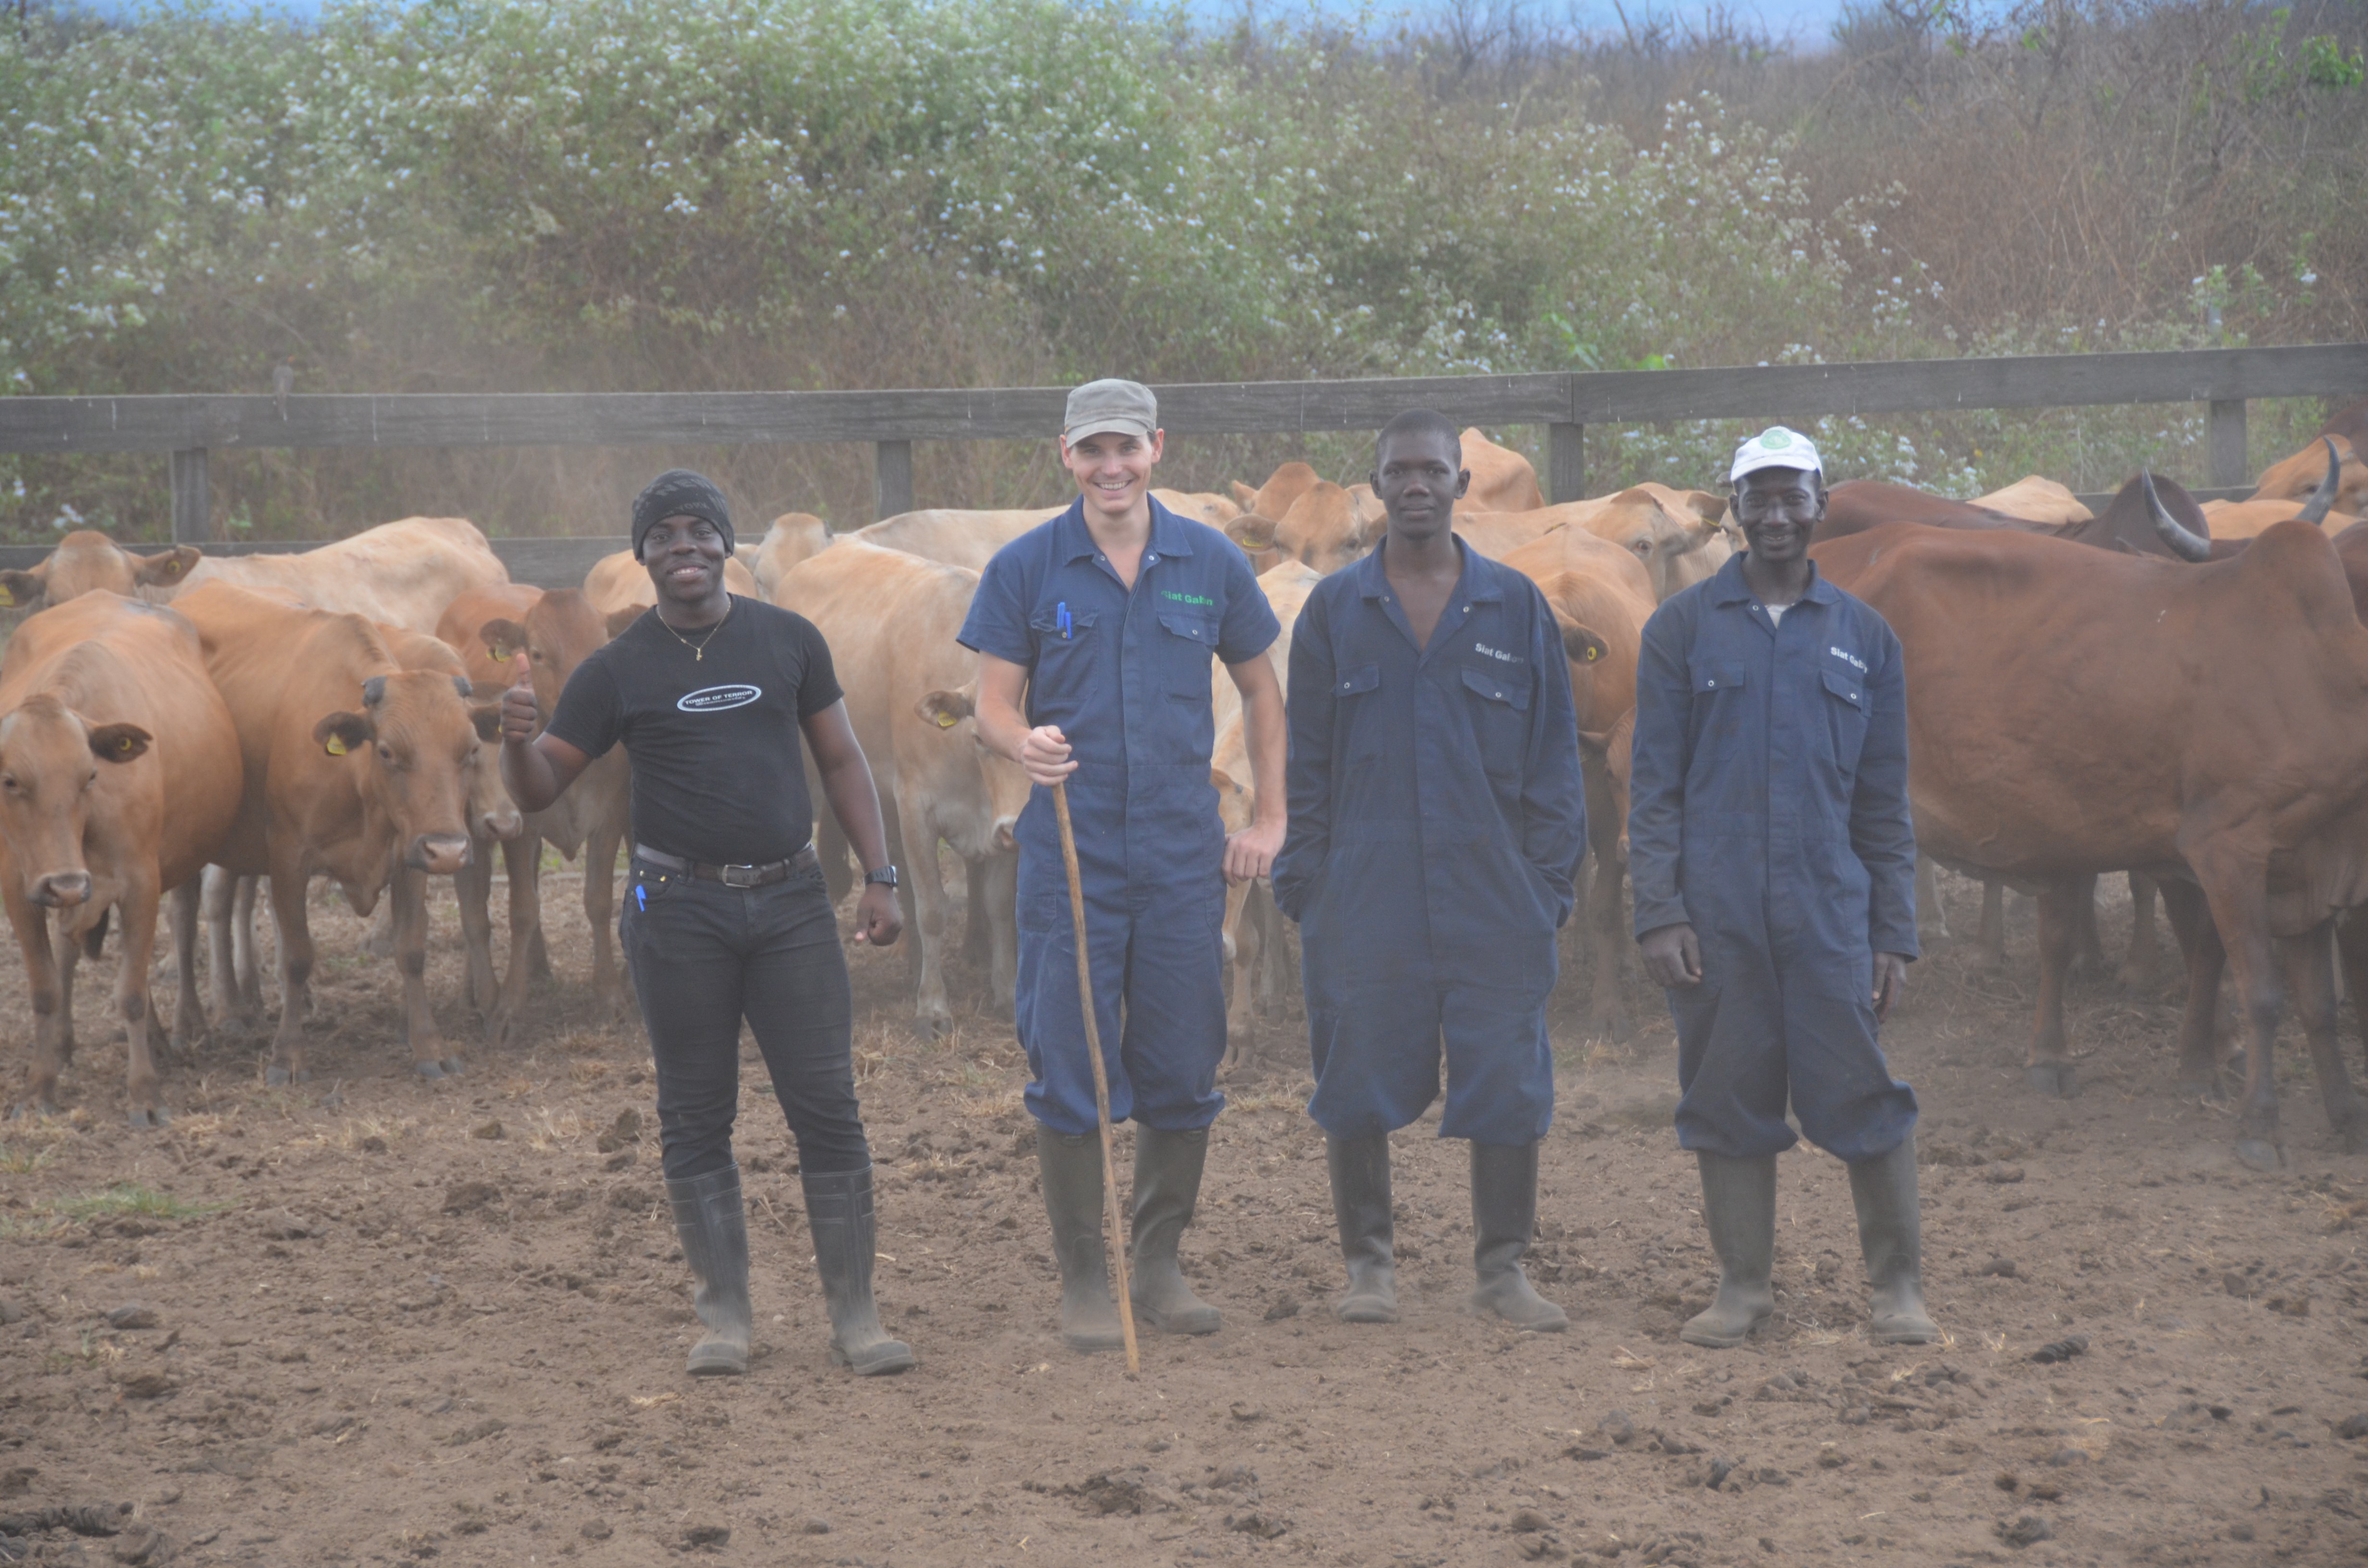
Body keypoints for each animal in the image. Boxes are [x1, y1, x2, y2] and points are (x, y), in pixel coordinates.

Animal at [0, 597, 241, 1123]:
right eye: (9, 780)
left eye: (90, 775)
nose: (65, 883)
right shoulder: (20, 890)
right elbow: (45, 989)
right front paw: (40, 1086)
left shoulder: (141, 883)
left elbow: (130, 991)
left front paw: (145, 1092)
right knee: (70, 950)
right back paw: (66, 1045)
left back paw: (159, 1039)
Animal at [176, 582, 509, 1090]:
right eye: (388, 751)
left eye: (470, 749)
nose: (451, 850)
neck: (356, 778)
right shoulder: (288, 859)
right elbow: (297, 956)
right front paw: (288, 1057)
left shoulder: (411, 858)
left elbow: (411, 950)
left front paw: (429, 1048)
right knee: (185, 917)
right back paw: (191, 1022)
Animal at [781, 540, 1032, 1032]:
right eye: (982, 738)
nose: (1019, 827)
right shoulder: (917, 806)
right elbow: (932, 908)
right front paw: (932, 1007)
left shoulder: (997, 824)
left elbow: (999, 906)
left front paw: (1007, 994)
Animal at [1809, 521, 2368, 1175]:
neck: (2323, 677)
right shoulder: (2226, 851)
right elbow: (2262, 993)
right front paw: (2259, 1126)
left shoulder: (2303, 871)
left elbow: (2317, 1005)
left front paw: (2346, 1116)